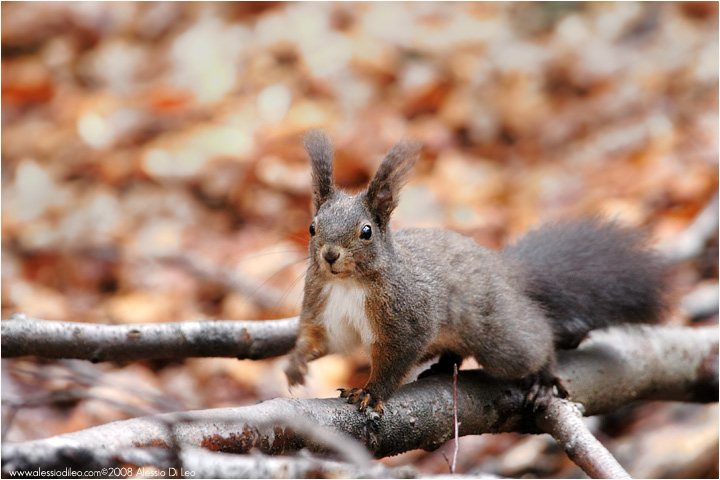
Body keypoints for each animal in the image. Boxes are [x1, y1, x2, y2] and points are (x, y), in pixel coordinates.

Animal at [284, 129, 668, 414]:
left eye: (366, 232)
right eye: (312, 227)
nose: (329, 255)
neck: (349, 283)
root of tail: (506, 270)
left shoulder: (407, 318)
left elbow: (396, 359)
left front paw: (371, 393)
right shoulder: (323, 304)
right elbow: (322, 338)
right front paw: (295, 364)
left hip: (499, 338)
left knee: (534, 341)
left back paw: (542, 378)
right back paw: (443, 365)